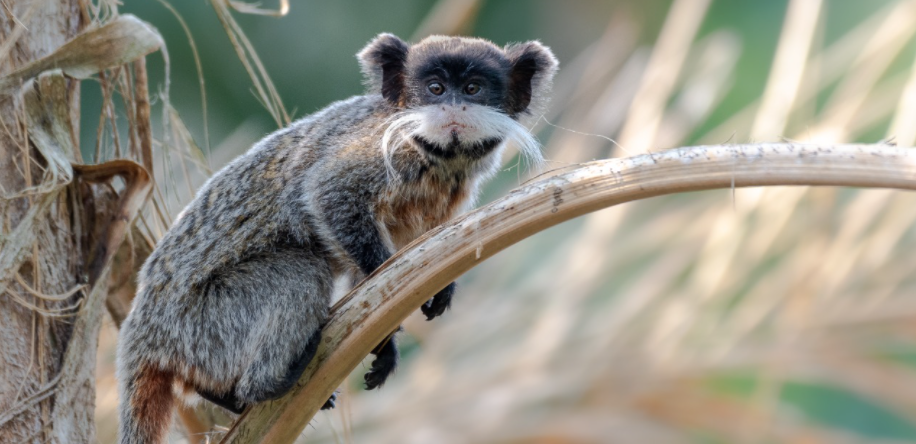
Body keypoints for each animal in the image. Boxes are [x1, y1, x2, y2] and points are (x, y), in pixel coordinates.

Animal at [114, 33, 560, 442]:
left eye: (472, 89)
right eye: (435, 89)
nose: (452, 107)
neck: (439, 161)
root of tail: (143, 337)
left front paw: (400, 328)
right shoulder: (383, 151)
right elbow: (329, 196)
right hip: (202, 323)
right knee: (300, 271)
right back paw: (268, 382)